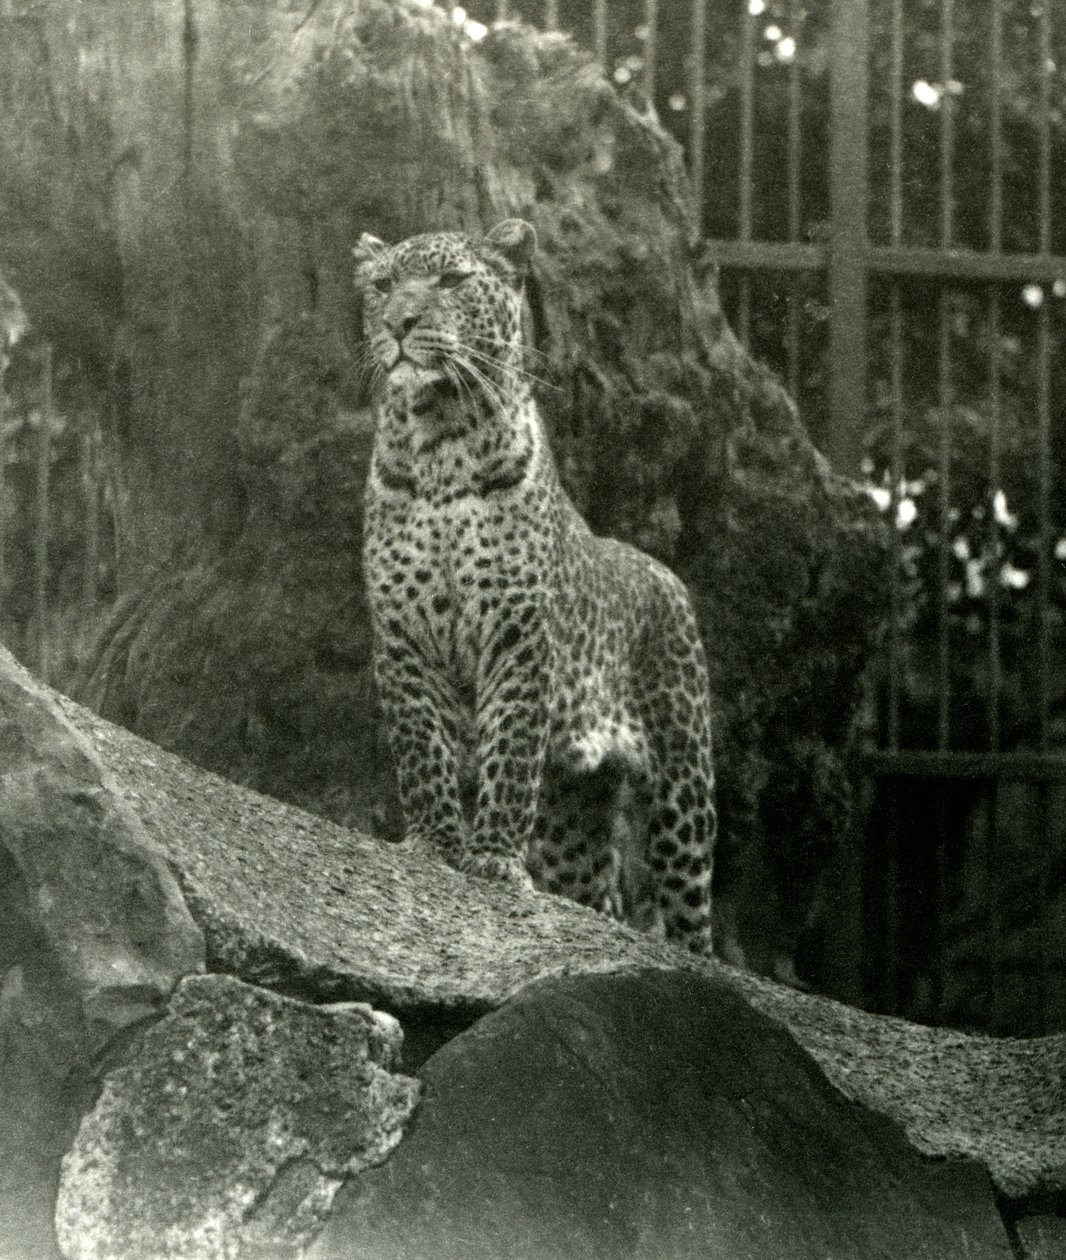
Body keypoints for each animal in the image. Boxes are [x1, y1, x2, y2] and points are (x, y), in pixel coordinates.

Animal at [357, 219, 715, 952]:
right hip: (573, 814)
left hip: (683, 787)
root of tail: (666, 574)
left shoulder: (517, 631)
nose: (400, 322)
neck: (440, 438)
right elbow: (422, 748)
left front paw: (493, 858)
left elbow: (511, 752)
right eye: (382, 284)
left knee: (692, 916)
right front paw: (434, 845)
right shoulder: (402, 632)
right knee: (598, 891)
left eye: (451, 281)